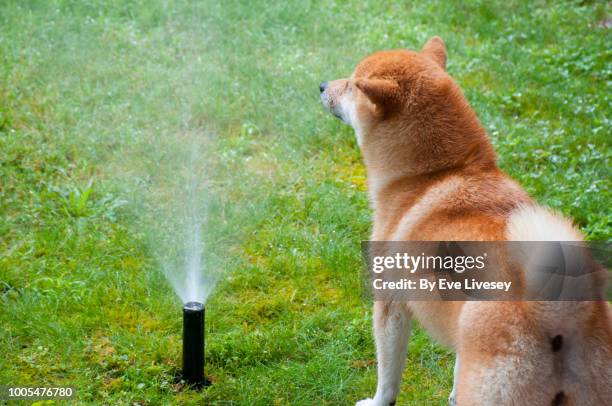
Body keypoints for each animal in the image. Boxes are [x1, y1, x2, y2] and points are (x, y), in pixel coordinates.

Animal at [320, 36, 612, 404]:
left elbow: (388, 376)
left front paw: (377, 401)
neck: (440, 173)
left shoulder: (390, 303)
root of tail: (558, 317)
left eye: (350, 83)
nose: (322, 86)